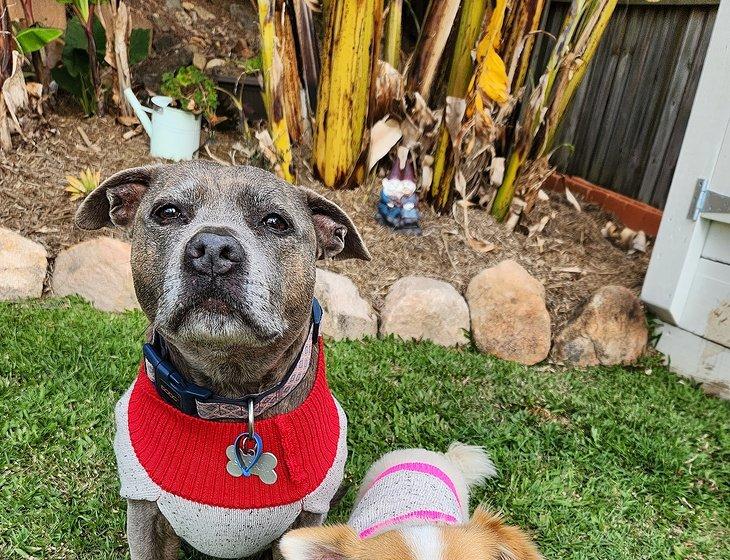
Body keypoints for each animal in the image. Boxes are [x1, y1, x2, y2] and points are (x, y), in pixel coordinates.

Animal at [75, 160, 370, 556]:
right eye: (168, 212)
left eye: (275, 222)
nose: (213, 248)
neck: (231, 394)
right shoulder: (145, 513)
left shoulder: (306, 522)